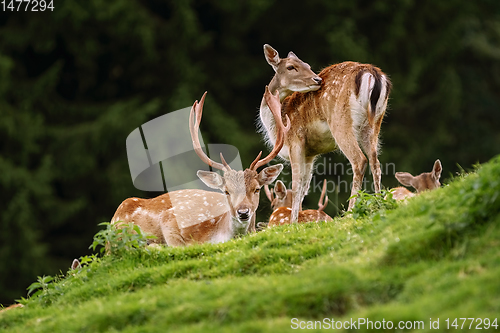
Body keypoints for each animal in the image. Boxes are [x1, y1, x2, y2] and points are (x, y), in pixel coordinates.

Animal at [260, 42, 392, 222]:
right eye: (291, 67)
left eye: (307, 65)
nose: (317, 79)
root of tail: (372, 74)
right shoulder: (310, 154)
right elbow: (304, 186)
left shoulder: (295, 141)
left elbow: (296, 184)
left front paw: (293, 222)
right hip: (374, 122)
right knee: (375, 161)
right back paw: (378, 203)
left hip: (340, 122)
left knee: (359, 160)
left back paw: (350, 212)